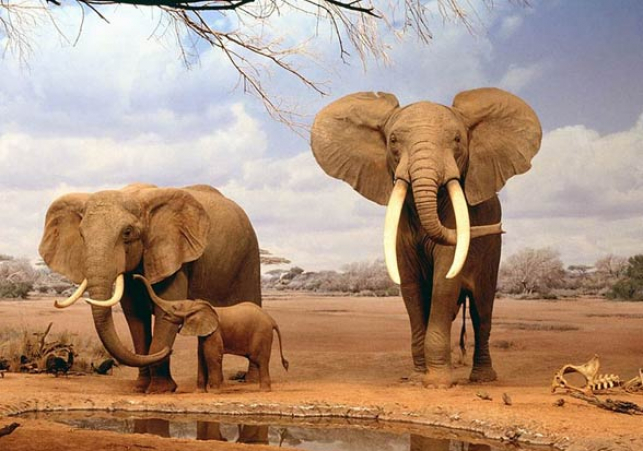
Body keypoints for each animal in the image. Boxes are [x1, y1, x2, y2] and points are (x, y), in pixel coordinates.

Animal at [38, 183, 261, 393]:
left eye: (127, 233)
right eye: (82, 235)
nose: (169, 350)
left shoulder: (173, 254)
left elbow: (166, 309)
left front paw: (159, 390)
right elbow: (135, 316)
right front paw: (141, 388)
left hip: (249, 256)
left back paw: (252, 381)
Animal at [135, 274, 289, 392]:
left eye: (174, 307)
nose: (134, 276)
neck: (197, 306)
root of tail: (271, 320)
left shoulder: (215, 332)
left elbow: (212, 355)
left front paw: (214, 391)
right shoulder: (204, 333)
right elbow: (201, 356)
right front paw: (200, 392)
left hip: (262, 333)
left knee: (260, 360)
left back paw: (264, 390)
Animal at [311, 88, 541, 387]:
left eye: (457, 140)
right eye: (393, 140)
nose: (500, 227)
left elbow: (445, 280)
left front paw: (438, 383)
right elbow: (410, 286)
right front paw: (417, 377)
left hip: (493, 251)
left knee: (482, 311)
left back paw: (482, 379)